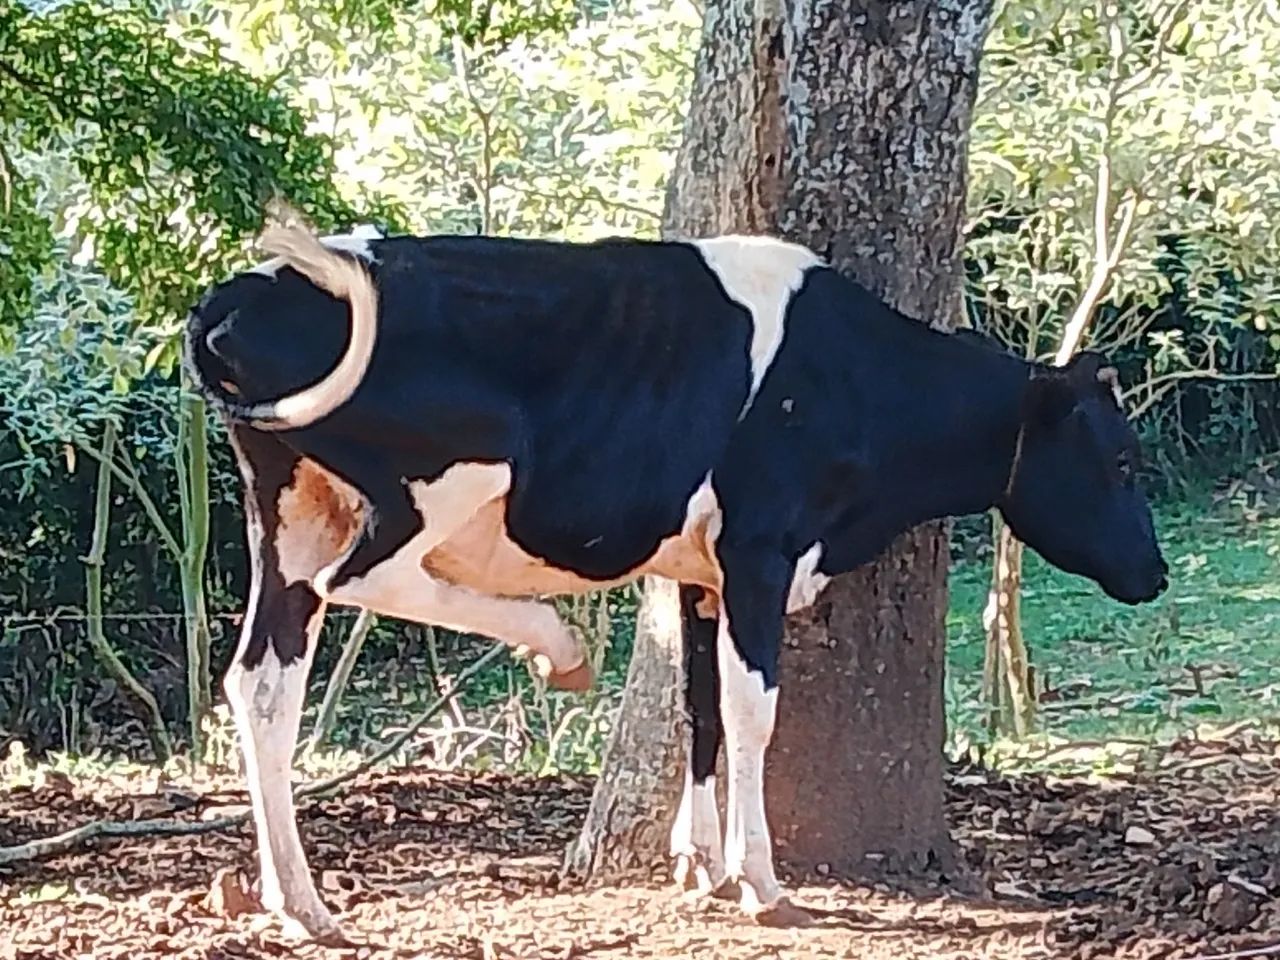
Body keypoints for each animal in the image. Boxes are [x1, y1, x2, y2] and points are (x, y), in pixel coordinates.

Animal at [184, 219, 1168, 942]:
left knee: (260, 682)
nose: (1154, 572)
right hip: (433, 482)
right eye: (1122, 461)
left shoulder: (701, 574)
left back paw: (300, 904)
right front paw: (758, 879)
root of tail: (253, 285)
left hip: (287, 516)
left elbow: (700, 703)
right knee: (367, 583)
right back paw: (558, 645)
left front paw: (696, 864)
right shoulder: (762, 549)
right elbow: (751, 708)